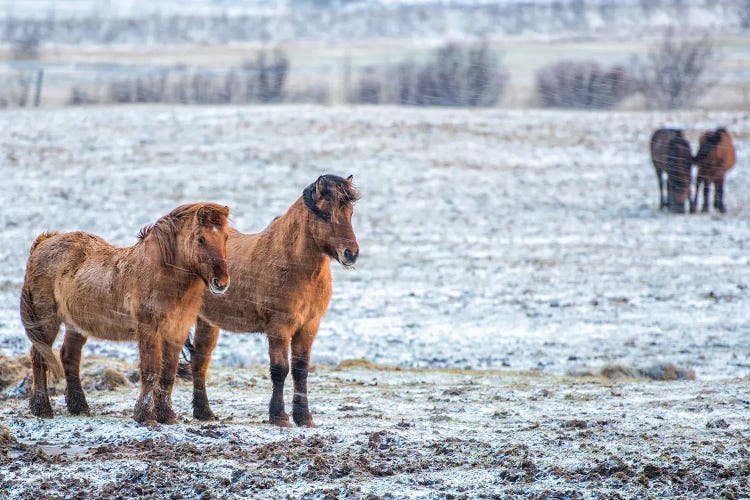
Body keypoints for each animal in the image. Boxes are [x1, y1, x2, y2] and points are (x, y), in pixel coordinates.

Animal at [22, 203, 231, 426]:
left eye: (226, 238)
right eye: (201, 239)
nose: (221, 282)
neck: (163, 275)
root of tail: (45, 240)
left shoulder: (176, 331)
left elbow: (168, 373)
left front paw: (167, 416)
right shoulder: (148, 329)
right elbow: (150, 370)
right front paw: (145, 416)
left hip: (76, 324)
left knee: (69, 356)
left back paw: (80, 408)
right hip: (47, 319)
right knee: (39, 355)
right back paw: (42, 409)